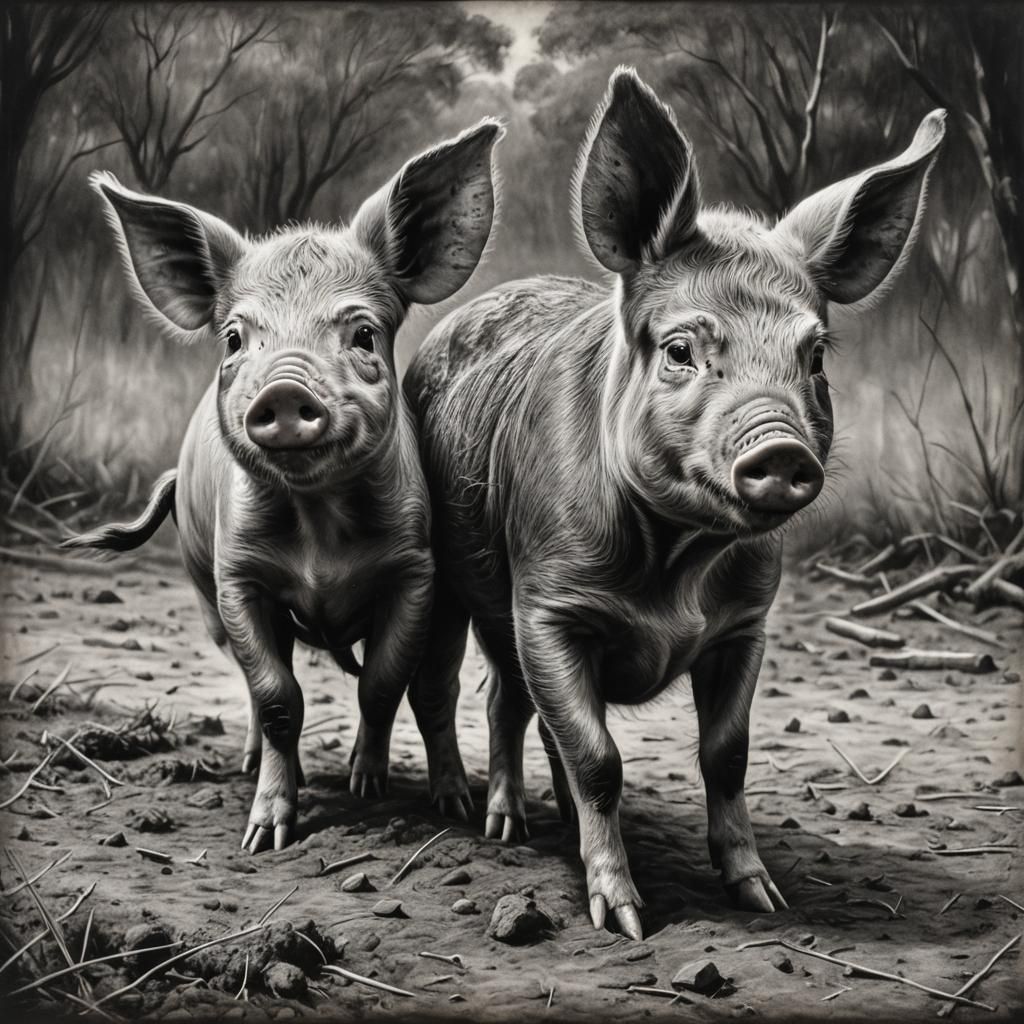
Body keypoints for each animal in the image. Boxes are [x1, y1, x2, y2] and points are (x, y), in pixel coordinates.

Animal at [63, 120, 502, 852]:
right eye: (235, 339)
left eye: (363, 334)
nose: (284, 391)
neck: (319, 531)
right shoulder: (237, 574)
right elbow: (275, 696)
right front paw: (264, 835)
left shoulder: (415, 571)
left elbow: (382, 684)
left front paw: (367, 787)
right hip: (204, 589)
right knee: (253, 686)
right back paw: (249, 765)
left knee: (430, 690)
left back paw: (444, 800)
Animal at [404, 68, 945, 939]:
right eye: (683, 350)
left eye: (814, 355)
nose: (781, 449)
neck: (676, 568)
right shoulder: (546, 607)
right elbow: (599, 756)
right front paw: (625, 920)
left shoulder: (745, 624)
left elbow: (726, 753)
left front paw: (760, 895)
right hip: (462, 583)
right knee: (482, 694)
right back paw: (500, 827)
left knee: (521, 706)